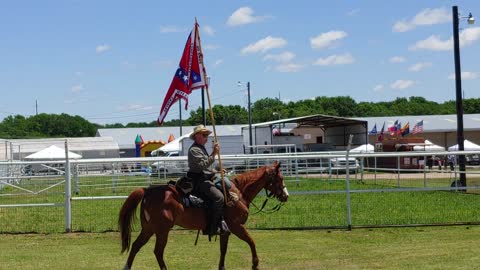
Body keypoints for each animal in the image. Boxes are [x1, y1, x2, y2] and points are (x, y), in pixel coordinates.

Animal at [119, 161, 288, 268]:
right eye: (280, 178)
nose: (286, 196)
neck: (238, 194)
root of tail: (148, 191)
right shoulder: (236, 226)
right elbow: (252, 242)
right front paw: (255, 263)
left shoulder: (225, 231)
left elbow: (223, 250)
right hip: (162, 230)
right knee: (158, 252)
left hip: (149, 229)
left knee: (135, 246)